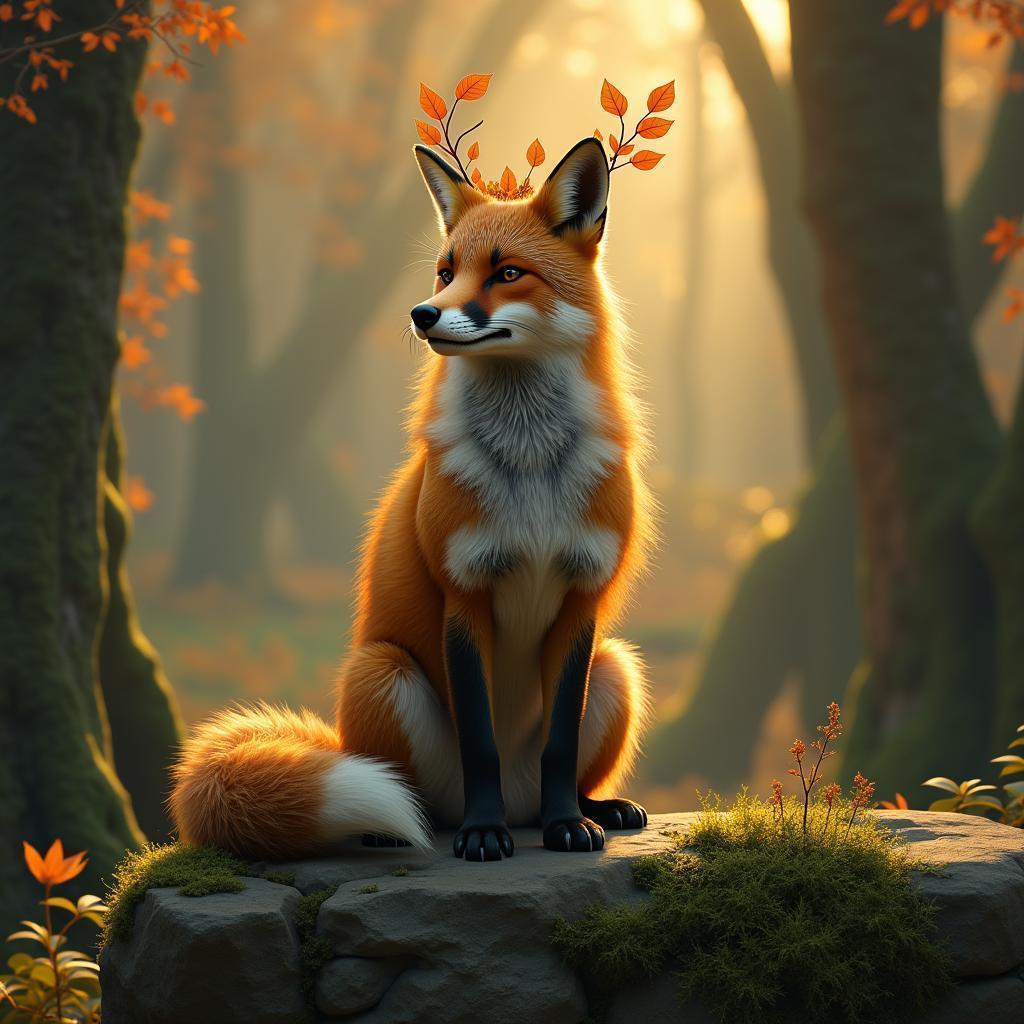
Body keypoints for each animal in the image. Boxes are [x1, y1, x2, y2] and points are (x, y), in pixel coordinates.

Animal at [170, 137, 655, 862]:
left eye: (508, 273)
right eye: (445, 272)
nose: (422, 314)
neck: (530, 473)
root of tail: (520, 803)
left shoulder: (581, 599)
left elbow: (561, 746)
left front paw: (570, 825)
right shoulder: (465, 592)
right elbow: (480, 742)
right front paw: (482, 836)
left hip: (616, 665)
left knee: (554, 773)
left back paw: (590, 808)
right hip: (382, 672)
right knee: (412, 799)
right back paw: (414, 824)